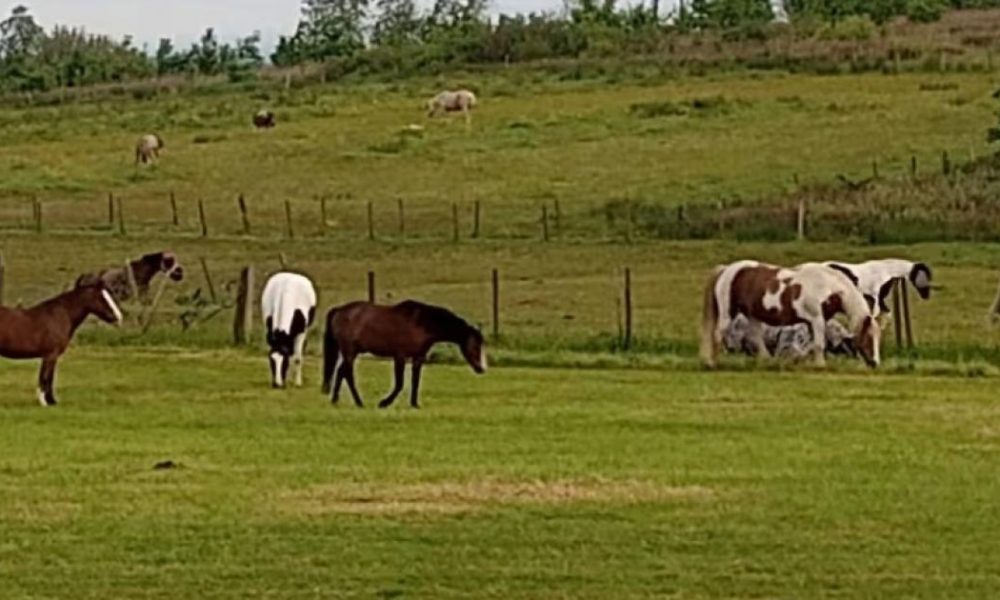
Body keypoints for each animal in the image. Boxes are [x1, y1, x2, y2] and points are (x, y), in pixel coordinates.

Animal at [321, 300, 487, 409]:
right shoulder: (400, 357)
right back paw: (358, 402)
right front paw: (384, 403)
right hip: (349, 352)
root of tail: (339, 310)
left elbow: (415, 381)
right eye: (475, 345)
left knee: (341, 372)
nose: (481, 369)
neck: (422, 323)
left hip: (351, 353)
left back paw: (335, 400)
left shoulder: (418, 358)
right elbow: (400, 384)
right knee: (348, 375)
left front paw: (414, 404)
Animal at [701, 261, 880, 369]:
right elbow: (819, 344)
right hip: (728, 313)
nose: (875, 363)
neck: (827, 286)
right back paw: (712, 363)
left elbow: (811, 346)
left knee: (755, 338)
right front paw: (820, 365)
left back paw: (768, 362)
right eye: (868, 338)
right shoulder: (816, 320)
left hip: (752, 315)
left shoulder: (815, 323)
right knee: (718, 334)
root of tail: (726, 269)